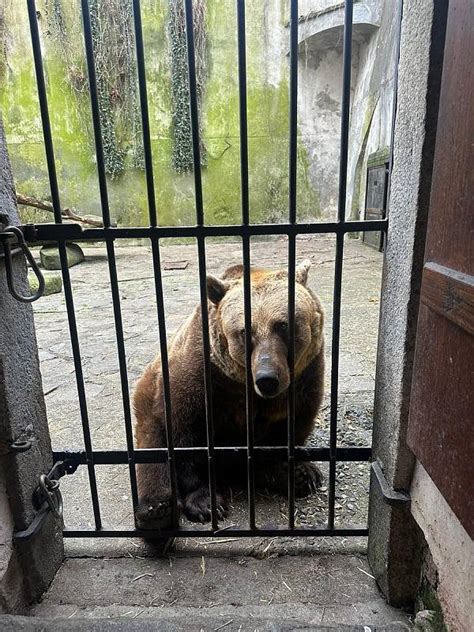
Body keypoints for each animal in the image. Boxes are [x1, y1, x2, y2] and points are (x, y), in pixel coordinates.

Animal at [133, 260, 326, 524]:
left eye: (283, 325)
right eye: (245, 331)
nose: (267, 379)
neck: (242, 383)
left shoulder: (305, 375)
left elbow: (293, 424)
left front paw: (295, 474)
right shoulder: (202, 374)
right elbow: (186, 433)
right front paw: (206, 503)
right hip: (148, 400)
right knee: (153, 450)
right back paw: (156, 509)